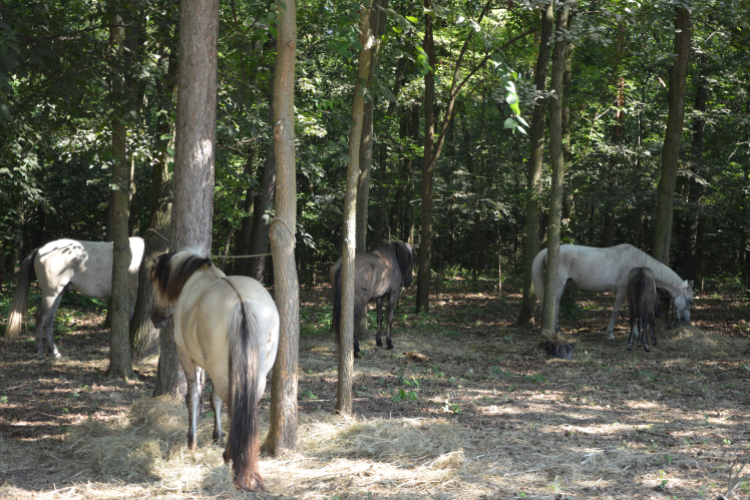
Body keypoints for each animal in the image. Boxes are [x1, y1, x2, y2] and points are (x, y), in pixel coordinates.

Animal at [5, 238, 145, 360]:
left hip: (58, 294)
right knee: (41, 317)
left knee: (49, 320)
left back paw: (55, 352)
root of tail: (41, 249)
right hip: (51, 294)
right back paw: (40, 353)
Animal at [147, 250, 280, 492]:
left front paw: (192, 441)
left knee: (230, 402)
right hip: (253, 374)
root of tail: (241, 303)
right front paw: (217, 435)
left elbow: (194, 397)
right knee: (244, 402)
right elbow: (214, 399)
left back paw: (231, 456)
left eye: (154, 281)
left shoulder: (189, 357)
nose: (156, 318)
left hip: (218, 369)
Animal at [532, 244, 696, 342]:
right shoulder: (622, 290)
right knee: (554, 304)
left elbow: (634, 310)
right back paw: (558, 331)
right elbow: (616, 311)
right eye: (690, 300)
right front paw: (610, 334)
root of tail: (551, 250)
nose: (687, 321)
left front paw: (636, 333)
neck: (637, 264)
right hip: (559, 284)